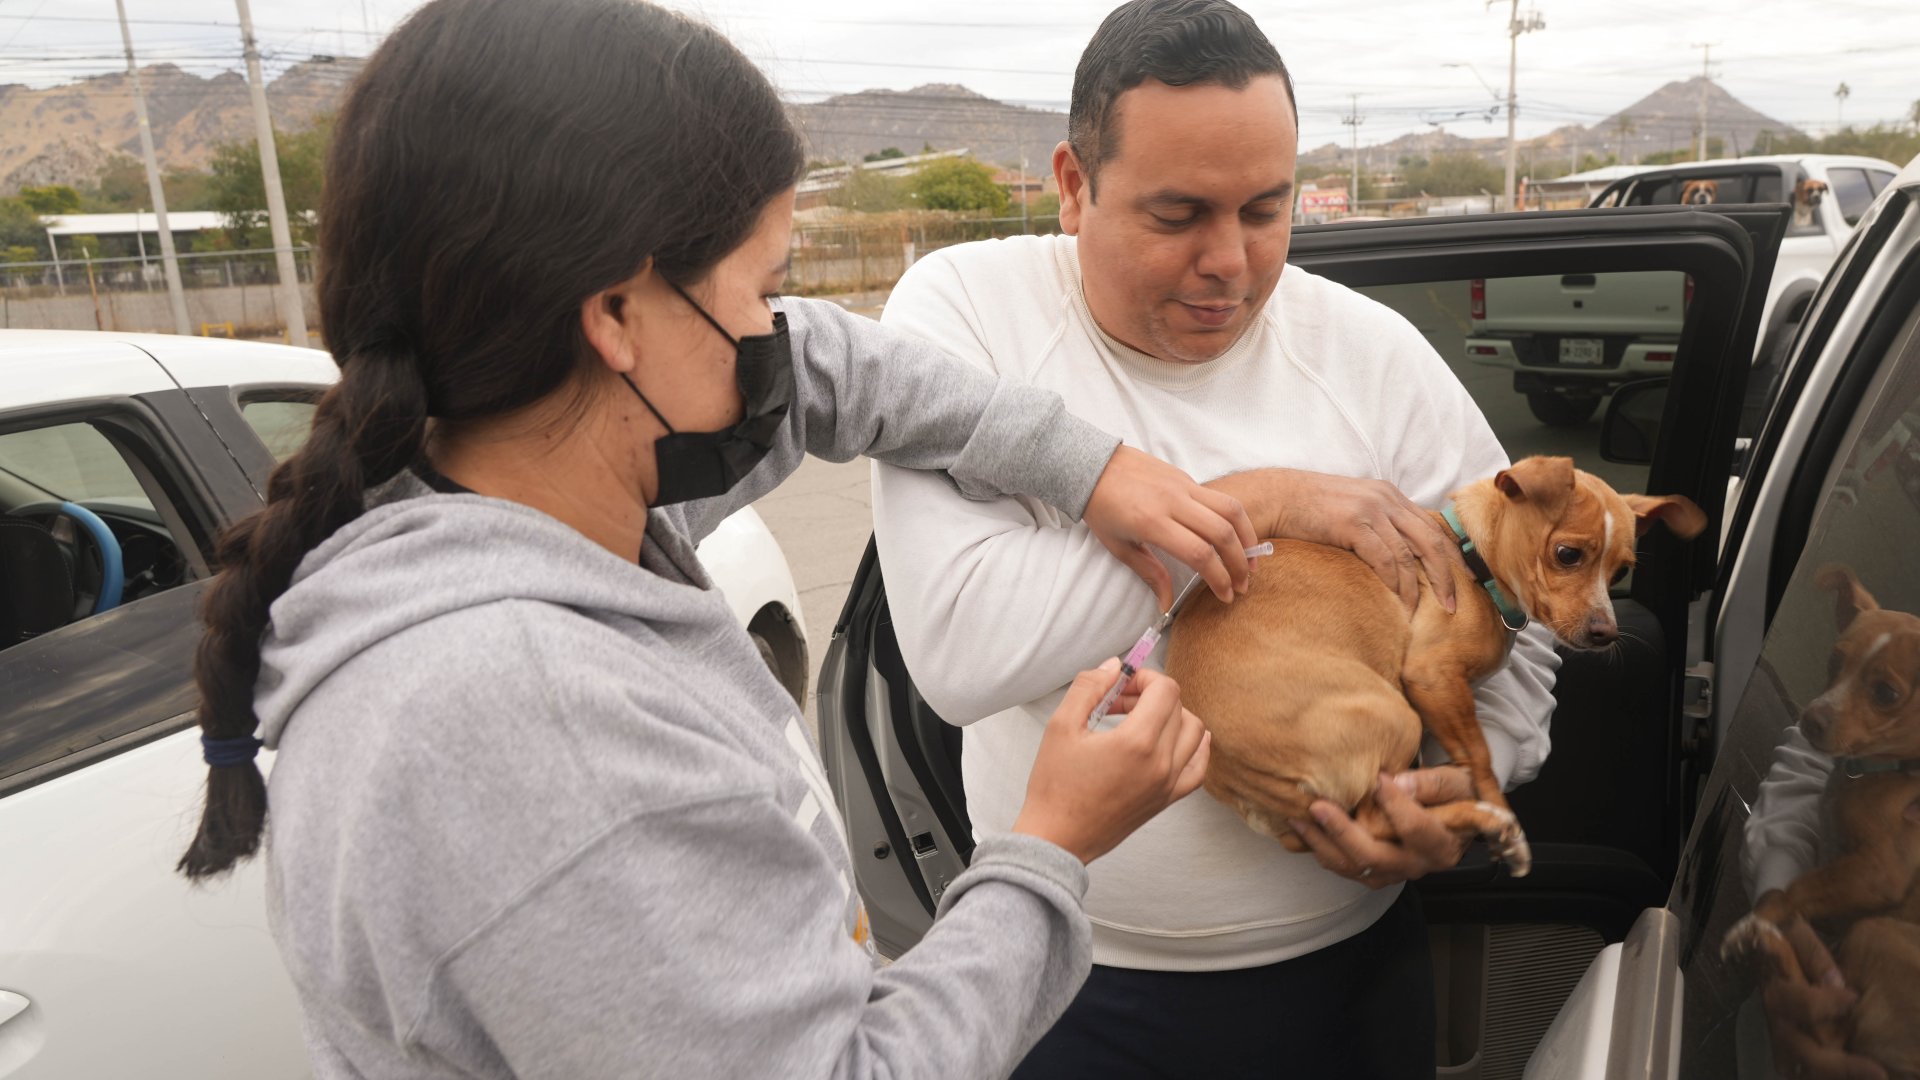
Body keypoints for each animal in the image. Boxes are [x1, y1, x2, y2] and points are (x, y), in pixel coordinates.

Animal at [1159, 453, 1704, 876]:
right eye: (1568, 554)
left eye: (1622, 571)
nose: (1605, 632)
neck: (1470, 562)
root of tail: (1230, 765)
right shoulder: (1433, 678)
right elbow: (1479, 755)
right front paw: (1499, 809)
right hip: (1397, 717)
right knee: (1375, 822)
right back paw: (1488, 821)